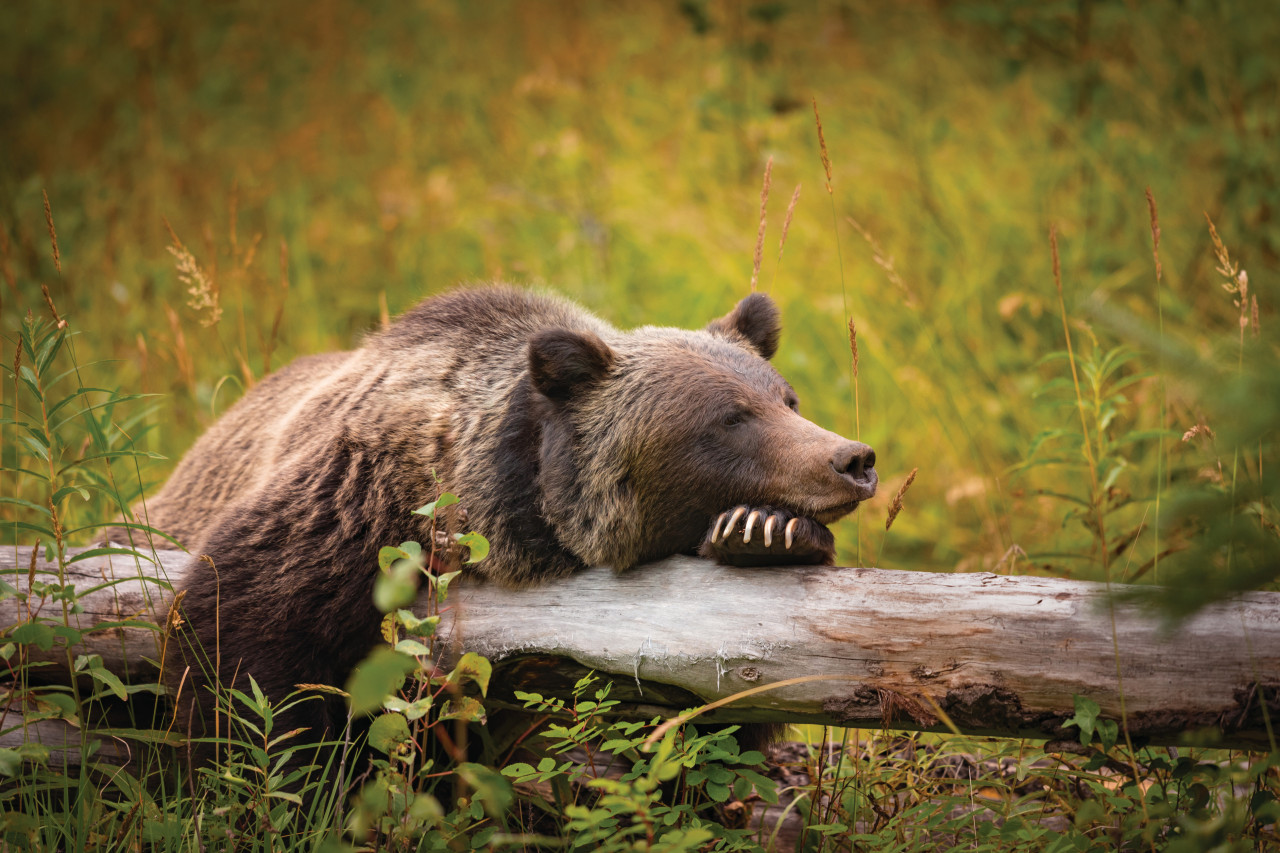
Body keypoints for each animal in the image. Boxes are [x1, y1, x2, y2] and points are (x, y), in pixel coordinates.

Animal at [145, 286, 875, 758]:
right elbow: (241, 642)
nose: (852, 459)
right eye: (729, 418)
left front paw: (765, 532)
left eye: (787, 399)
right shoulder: (354, 508)